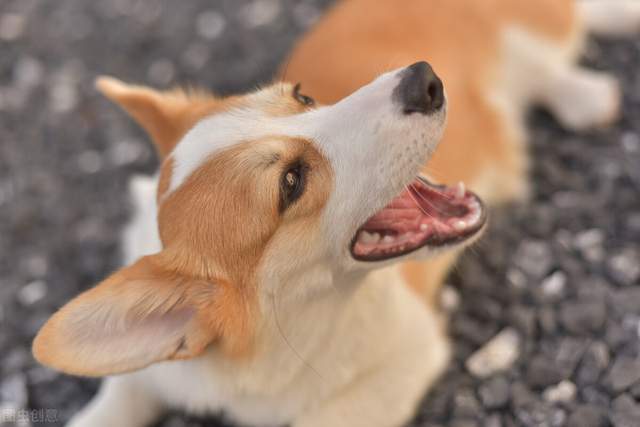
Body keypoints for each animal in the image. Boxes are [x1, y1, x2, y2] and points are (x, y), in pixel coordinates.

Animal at [33, 0, 636, 427]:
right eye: (291, 183)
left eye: (301, 96)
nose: (425, 78)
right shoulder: (154, 376)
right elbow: (111, 401)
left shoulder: (406, 354)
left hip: (537, 30)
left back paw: (587, 84)